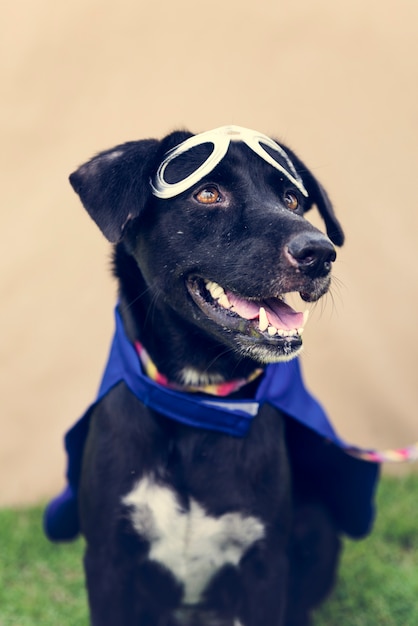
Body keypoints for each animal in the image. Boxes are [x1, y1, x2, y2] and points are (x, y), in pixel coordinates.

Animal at [45, 124, 378, 620]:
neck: (199, 400)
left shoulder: (264, 565)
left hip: (317, 530)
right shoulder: (108, 559)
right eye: (207, 193)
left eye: (291, 199)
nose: (320, 251)